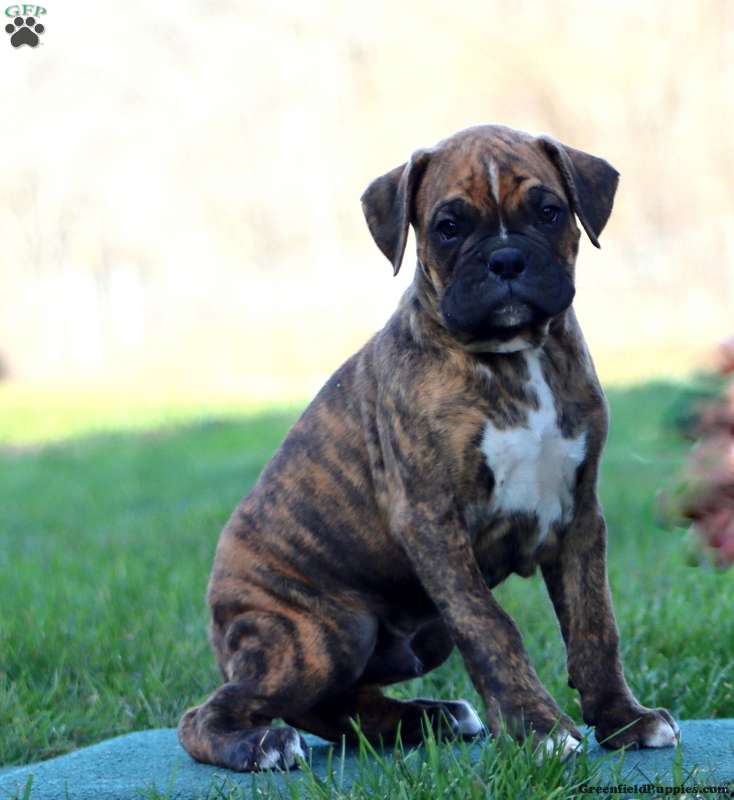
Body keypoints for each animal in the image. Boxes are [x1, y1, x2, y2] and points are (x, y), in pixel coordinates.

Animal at [178, 124, 680, 771]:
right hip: (318, 635)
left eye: (548, 212)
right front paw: (537, 728)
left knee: (340, 707)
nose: (506, 259)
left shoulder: (580, 517)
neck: (514, 357)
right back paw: (259, 744)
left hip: (412, 638)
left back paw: (428, 719)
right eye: (448, 226)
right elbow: (490, 625)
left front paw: (625, 721)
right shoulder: (433, 521)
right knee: (214, 712)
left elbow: (595, 625)